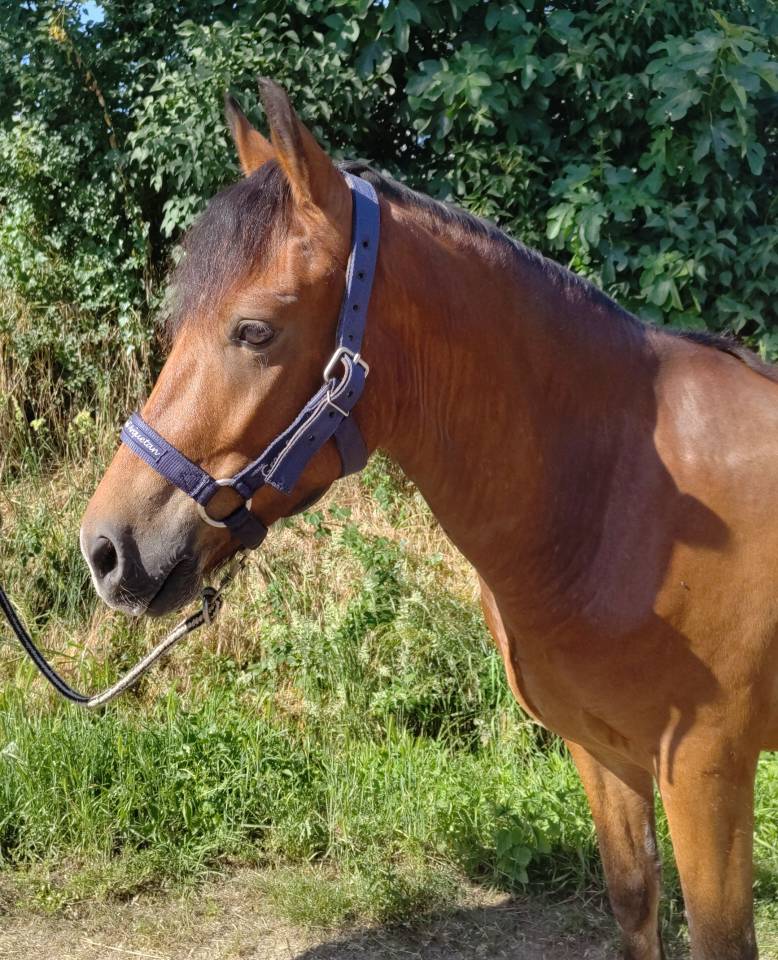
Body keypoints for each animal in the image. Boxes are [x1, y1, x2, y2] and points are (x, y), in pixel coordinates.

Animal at [80, 79, 778, 960]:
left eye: (254, 330)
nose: (106, 549)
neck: (615, 497)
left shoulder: (707, 773)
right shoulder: (605, 755)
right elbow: (634, 906)